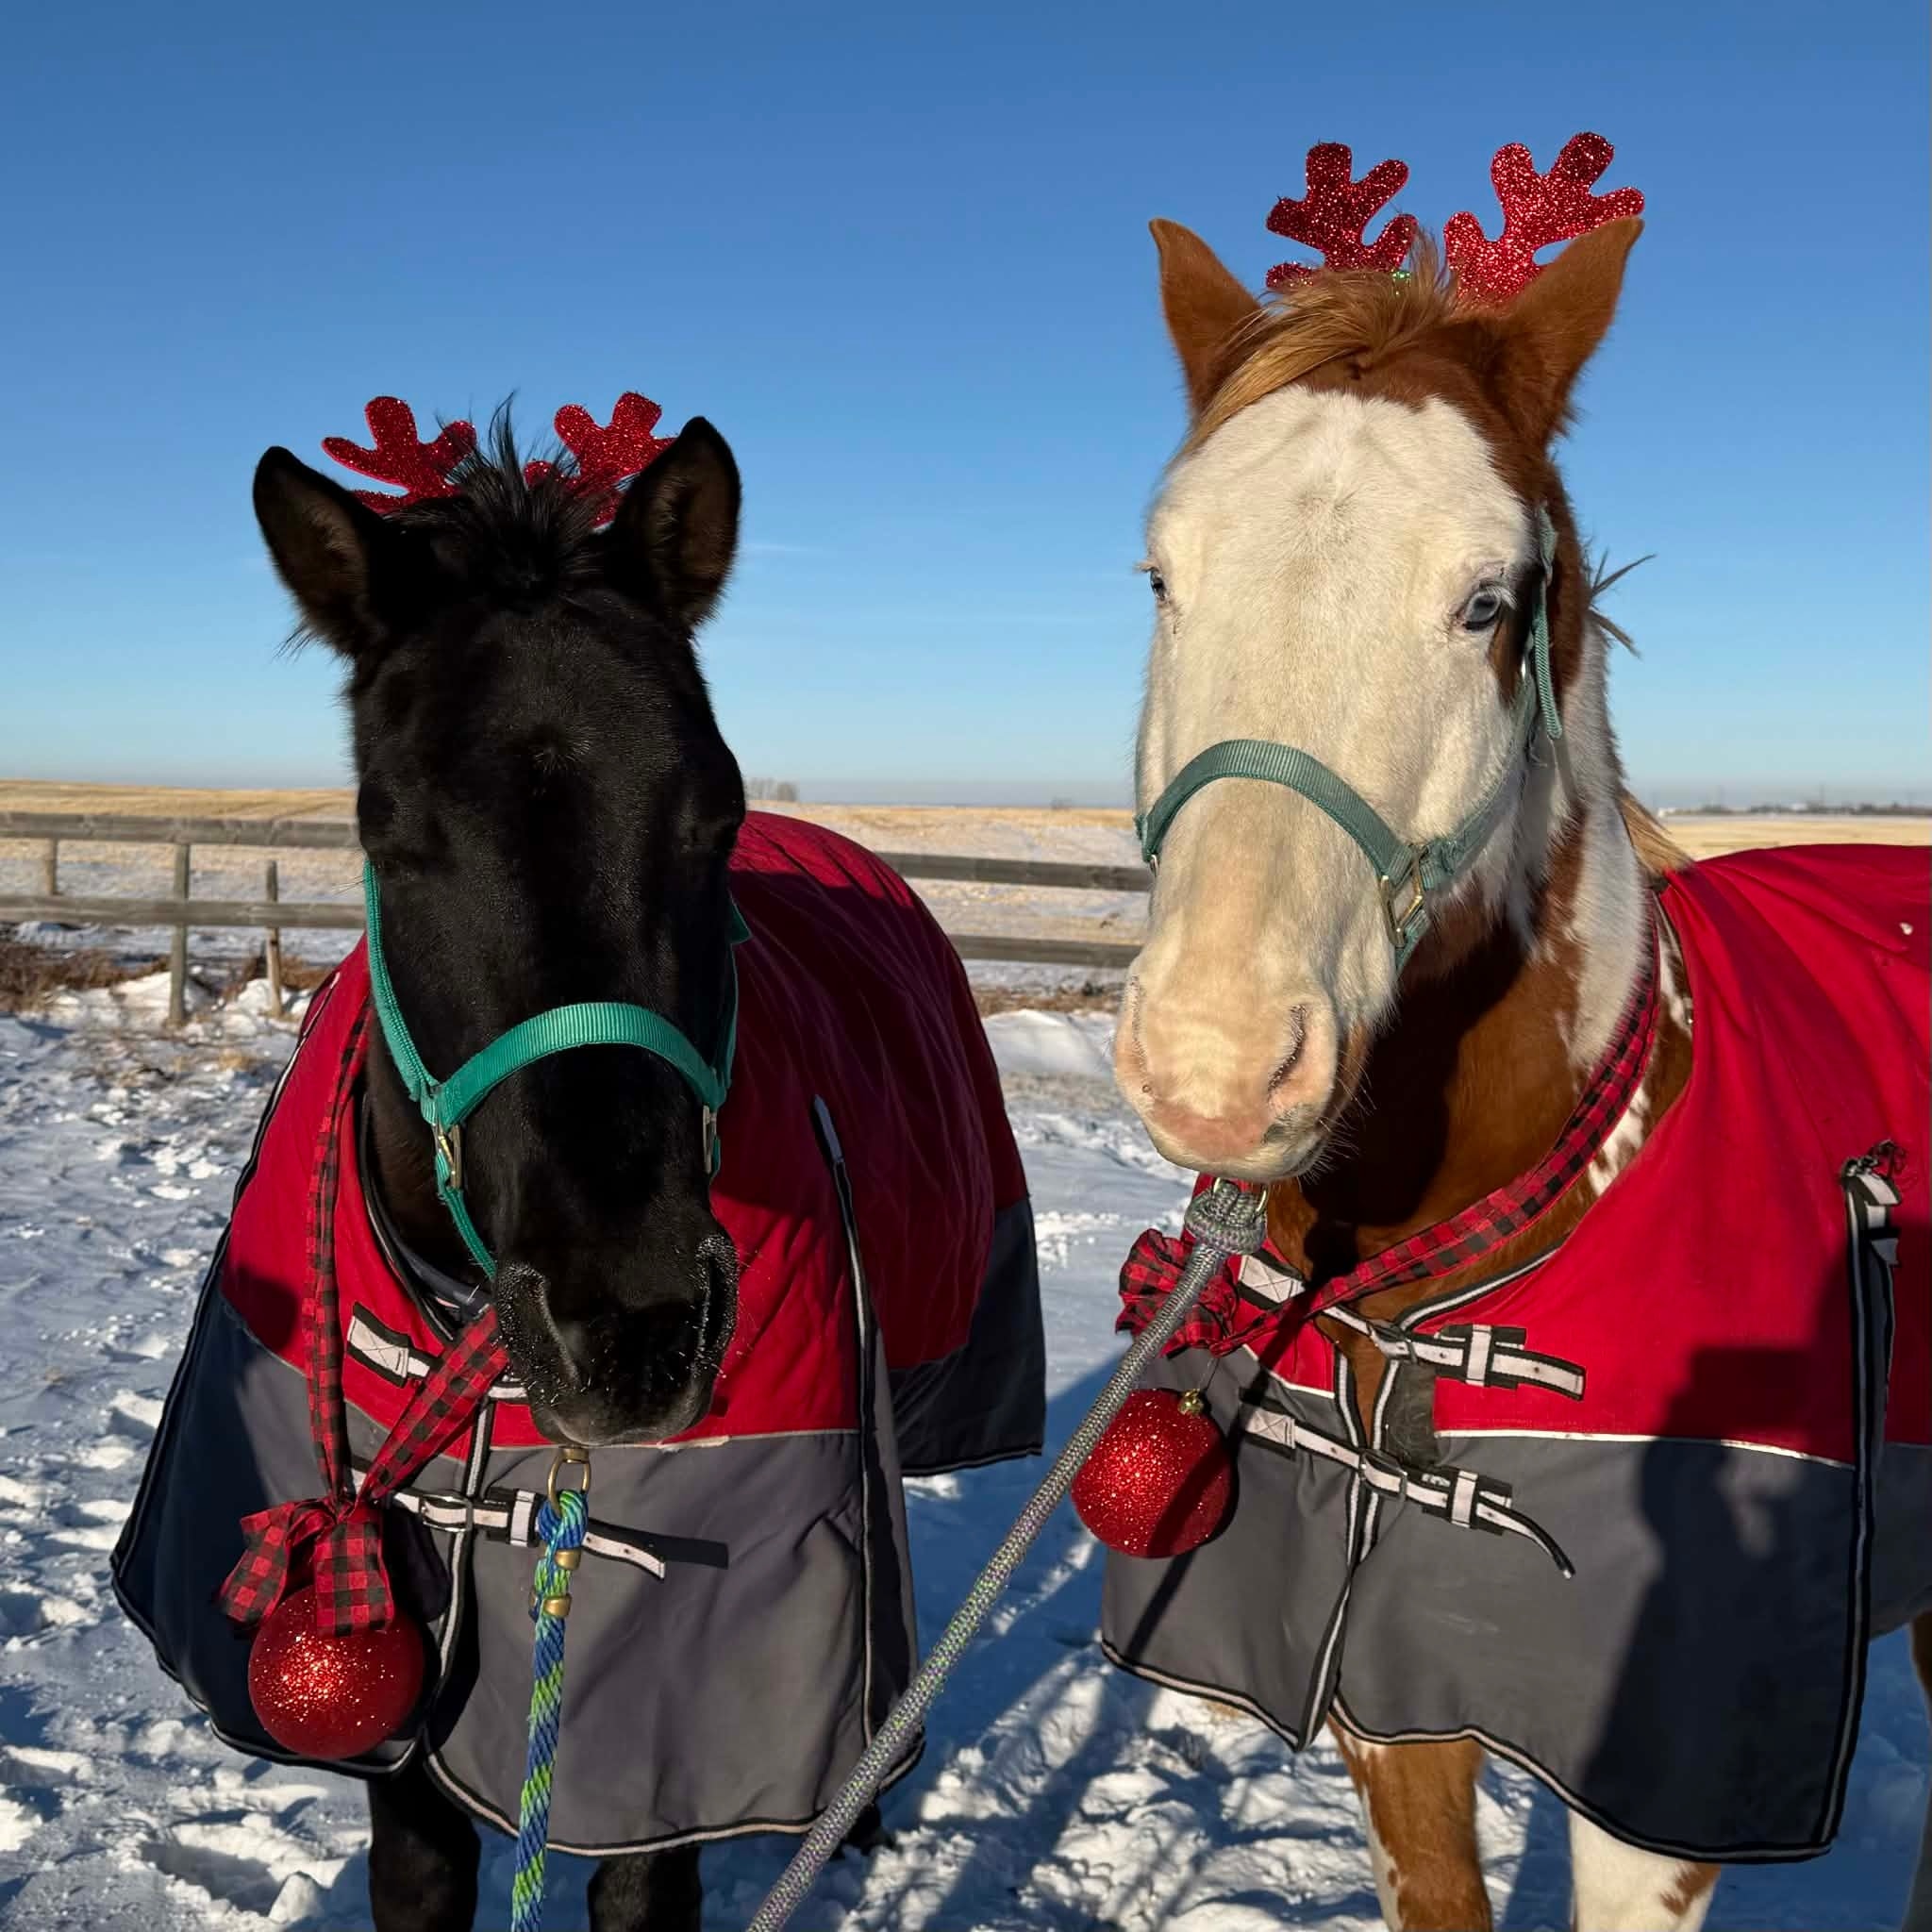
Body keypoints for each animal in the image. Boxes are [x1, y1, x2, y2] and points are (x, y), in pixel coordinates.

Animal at [113, 407, 1045, 1930]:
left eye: (714, 814)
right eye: (386, 829)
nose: (630, 1328)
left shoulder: (662, 1731)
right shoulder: (403, 1726)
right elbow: (422, 1866)